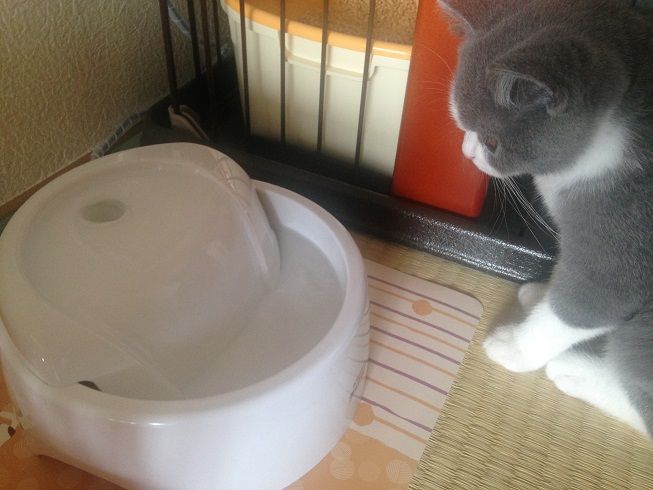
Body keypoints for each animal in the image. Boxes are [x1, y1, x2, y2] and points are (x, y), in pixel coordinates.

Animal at [440, 0, 653, 435]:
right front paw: (541, 293)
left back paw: (576, 370)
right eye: (462, 125)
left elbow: (582, 305)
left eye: (491, 141)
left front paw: (516, 347)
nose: (467, 152)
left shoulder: (624, 241)